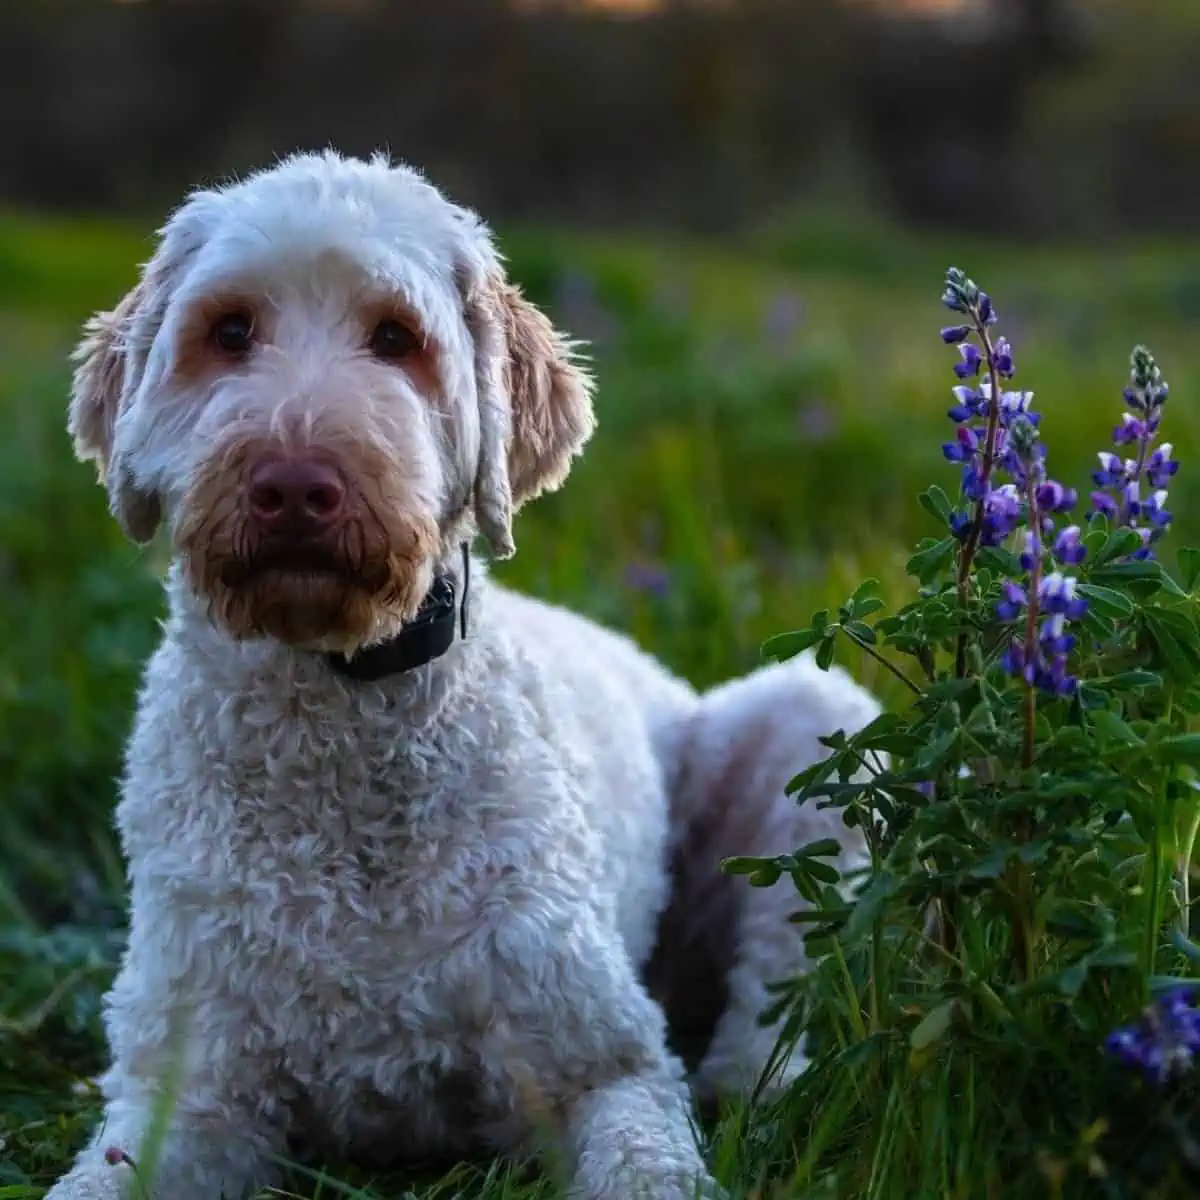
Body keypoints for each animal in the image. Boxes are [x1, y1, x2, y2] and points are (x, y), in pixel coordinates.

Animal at [46, 152, 878, 1200]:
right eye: (228, 331)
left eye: (395, 337)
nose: (294, 484)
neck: (343, 712)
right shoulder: (184, 1096)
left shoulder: (607, 1065)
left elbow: (645, 1151)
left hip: (814, 726)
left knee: (778, 994)